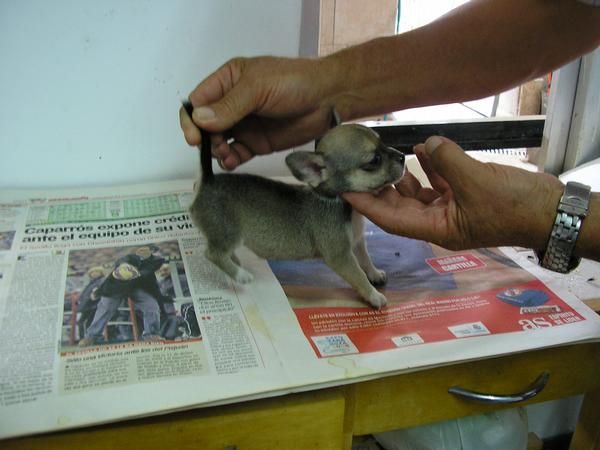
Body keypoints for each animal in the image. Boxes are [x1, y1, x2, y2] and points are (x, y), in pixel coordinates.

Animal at [183, 102, 406, 308]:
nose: (403, 157)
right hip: (228, 232)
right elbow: (358, 275)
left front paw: (374, 274)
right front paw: (374, 296)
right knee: (212, 254)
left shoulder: (358, 241)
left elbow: (365, 259)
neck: (345, 206)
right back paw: (241, 275)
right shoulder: (340, 256)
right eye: (375, 160)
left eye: (384, 143)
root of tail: (208, 180)